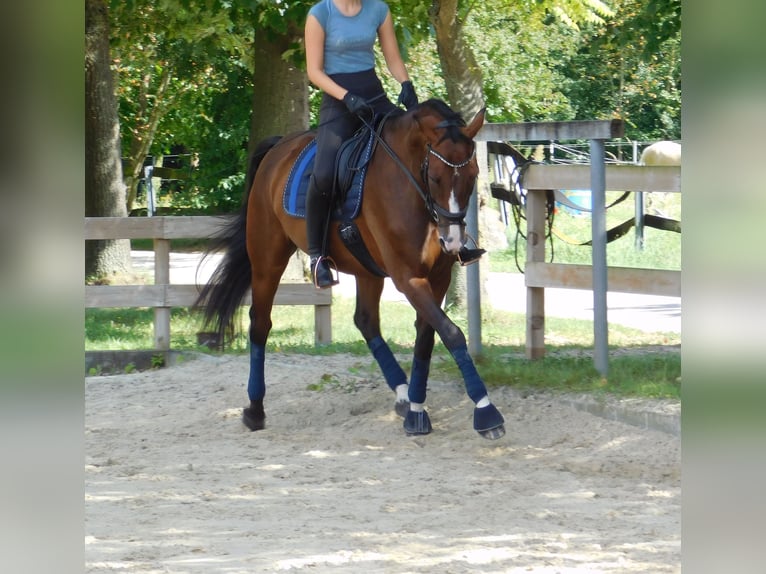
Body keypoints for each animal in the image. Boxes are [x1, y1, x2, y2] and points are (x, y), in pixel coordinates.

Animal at [198, 98, 508, 440]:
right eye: (436, 178)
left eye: (473, 175)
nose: (452, 241)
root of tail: (279, 147)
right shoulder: (408, 278)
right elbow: (451, 333)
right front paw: (486, 411)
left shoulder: (438, 277)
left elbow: (428, 337)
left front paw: (416, 410)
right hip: (268, 259)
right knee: (260, 324)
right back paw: (255, 409)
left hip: (366, 268)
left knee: (366, 321)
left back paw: (402, 395)